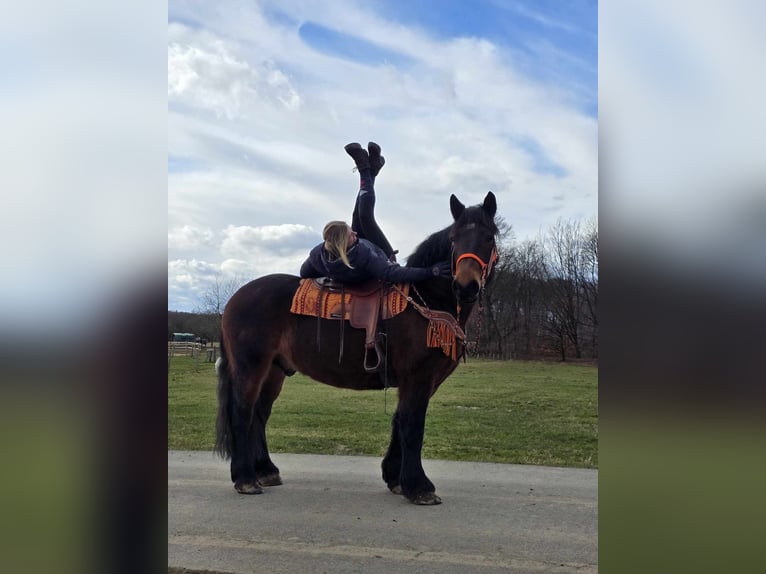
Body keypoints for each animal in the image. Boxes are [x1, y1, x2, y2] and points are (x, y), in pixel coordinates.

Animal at [216, 192, 500, 504]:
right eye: (453, 238)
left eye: (489, 237)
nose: (465, 286)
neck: (425, 300)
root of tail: (235, 299)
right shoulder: (418, 378)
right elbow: (413, 427)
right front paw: (419, 486)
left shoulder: (422, 381)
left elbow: (399, 423)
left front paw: (395, 478)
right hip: (250, 367)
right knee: (242, 413)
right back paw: (245, 478)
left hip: (274, 371)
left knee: (259, 414)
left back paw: (265, 471)